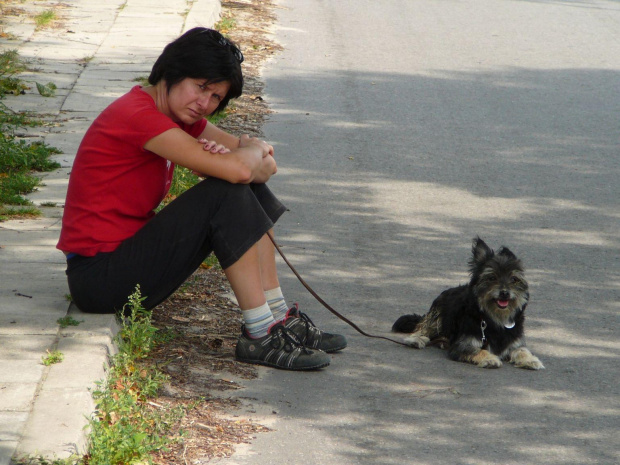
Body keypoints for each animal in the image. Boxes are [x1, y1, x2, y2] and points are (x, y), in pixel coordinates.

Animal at [392, 236, 544, 370]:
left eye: (514, 279)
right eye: (491, 277)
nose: (505, 293)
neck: (496, 319)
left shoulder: (515, 343)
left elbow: (522, 350)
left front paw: (530, 360)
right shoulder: (462, 345)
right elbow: (479, 350)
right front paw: (490, 358)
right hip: (438, 314)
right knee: (423, 327)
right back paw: (416, 339)